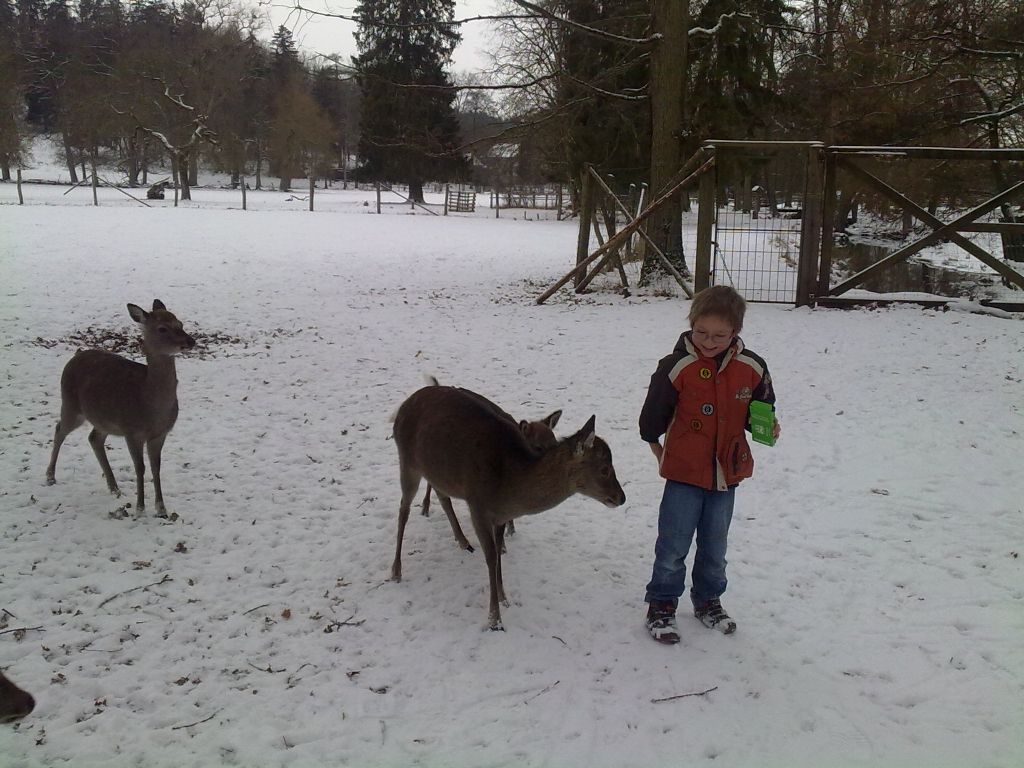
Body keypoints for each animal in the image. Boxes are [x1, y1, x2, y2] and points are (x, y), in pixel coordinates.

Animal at [45, 301, 195, 518]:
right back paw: (50, 477)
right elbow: (140, 468)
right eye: (162, 328)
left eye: (180, 323)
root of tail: (76, 355)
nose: (191, 341)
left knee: (94, 438)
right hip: (71, 404)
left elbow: (156, 467)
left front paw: (161, 509)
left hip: (102, 419)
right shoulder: (132, 432)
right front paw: (140, 508)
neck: (151, 406)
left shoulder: (160, 434)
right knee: (59, 429)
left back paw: (114, 487)